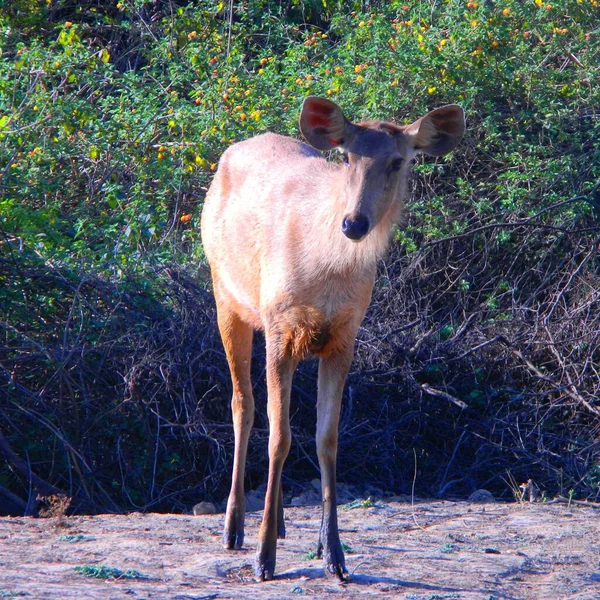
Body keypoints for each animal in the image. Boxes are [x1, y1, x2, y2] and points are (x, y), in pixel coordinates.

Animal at [202, 96, 464, 580]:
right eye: (346, 157)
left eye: (398, 161)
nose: (354, 223)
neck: (327, 270)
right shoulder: (279, 326)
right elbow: (280, 437)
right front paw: (264, 559)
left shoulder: (344, 336)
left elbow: (327, 440)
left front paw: (334, 554)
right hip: (226, 297)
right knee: (243, 404)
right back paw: (235, 527)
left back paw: (280, 522)